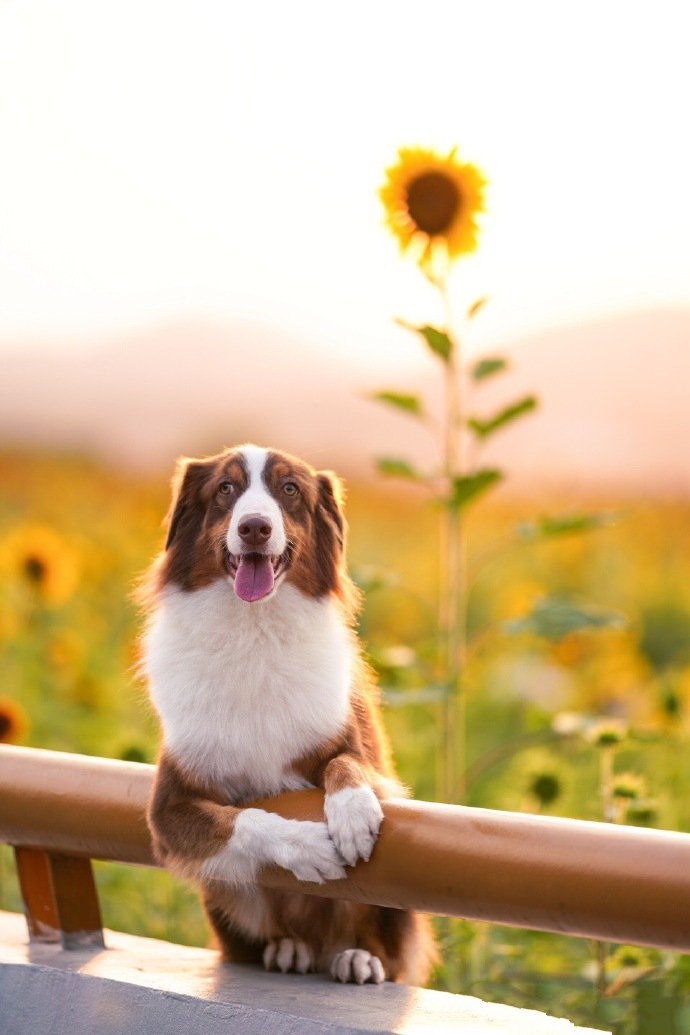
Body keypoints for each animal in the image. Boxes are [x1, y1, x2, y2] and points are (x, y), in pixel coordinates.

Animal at [140, 440, 434, 981]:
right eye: (226, 488)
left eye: (290, 489)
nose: (255, 527)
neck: (252, 630)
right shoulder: (167, 811)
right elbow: (243, 819)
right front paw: (306, 847)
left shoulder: (362, 749)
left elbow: (346, 763)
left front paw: (353, 815)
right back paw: (288, 949)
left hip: (391, 913)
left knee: (384, 945)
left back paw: (358, 958)